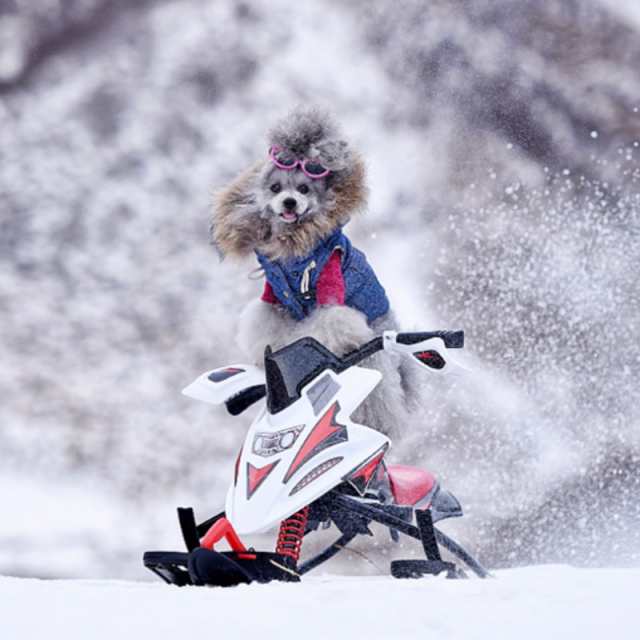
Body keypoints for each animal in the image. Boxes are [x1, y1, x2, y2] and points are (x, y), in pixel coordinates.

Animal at [210, 109, 420, 440]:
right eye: (275, 188)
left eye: (304, 189)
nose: (289, 202)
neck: (294, 245)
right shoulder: (274, 293)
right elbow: (264, 320)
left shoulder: (329, 280)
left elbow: (330, 319)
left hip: (375, 360)